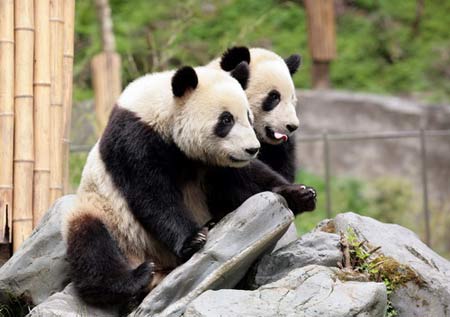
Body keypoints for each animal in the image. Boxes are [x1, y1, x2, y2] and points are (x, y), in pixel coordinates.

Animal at [61, 63, 258, 308]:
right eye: (226, 120)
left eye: (249, 117)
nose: (252, 149)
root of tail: (163, 268)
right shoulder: (134, 138)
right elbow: (152, 195)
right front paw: (194, 238)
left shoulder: (211, 163)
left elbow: (241, 181)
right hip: (108, 219)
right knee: (91, 243)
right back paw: (136, 278)